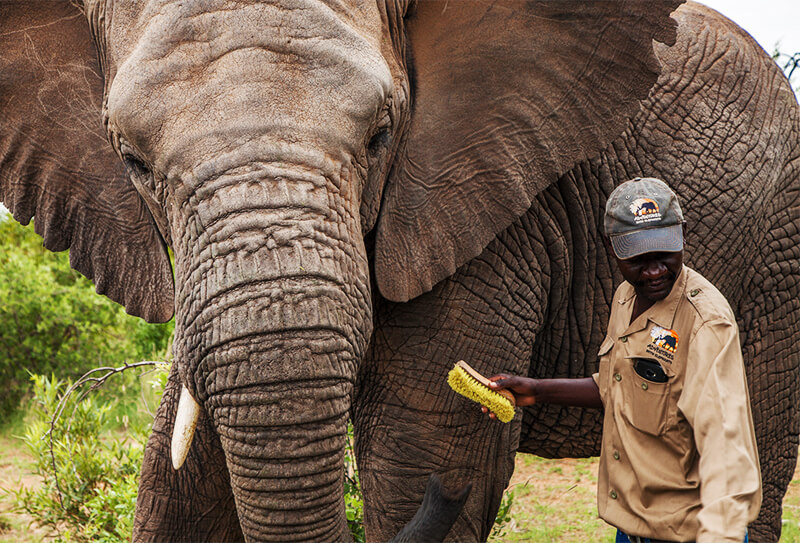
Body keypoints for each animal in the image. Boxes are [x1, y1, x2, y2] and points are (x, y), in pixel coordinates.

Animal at [1, 0, 799, 541]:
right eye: (132, 160)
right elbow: (178, 480)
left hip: (776, 257)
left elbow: (416, 452)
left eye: (382, 135)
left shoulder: (485, 201)